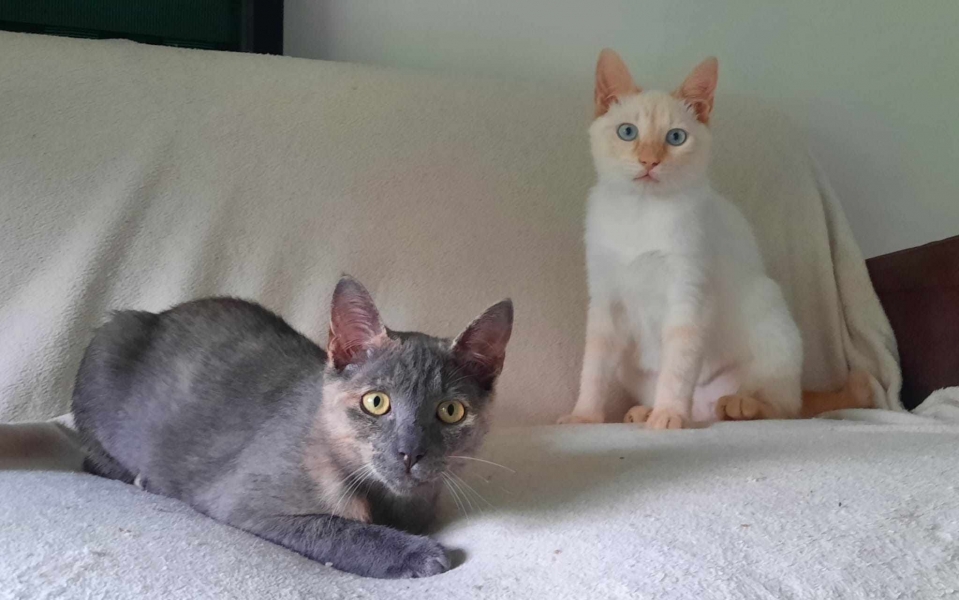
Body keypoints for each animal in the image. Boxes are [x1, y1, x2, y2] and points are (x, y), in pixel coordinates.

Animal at [72, 276, 513, 578]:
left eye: (451, 411)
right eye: (376, 402)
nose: (410, 451)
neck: (390, 503)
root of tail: (158, 314)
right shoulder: (246, 502)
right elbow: (334, 528)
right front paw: (416, 553)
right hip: (109, 343)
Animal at [558, 49, 872, 429]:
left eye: (675, 138)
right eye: (628, 132)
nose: (649, 161)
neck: (641, 213)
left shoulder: (688, 294)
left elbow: (677, 368)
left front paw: (669, 414)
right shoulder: (606, 301)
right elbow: (593, 369)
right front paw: (584, 416)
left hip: (770, 314)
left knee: (783, 406)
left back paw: (736, 406)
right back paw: (647, 410)